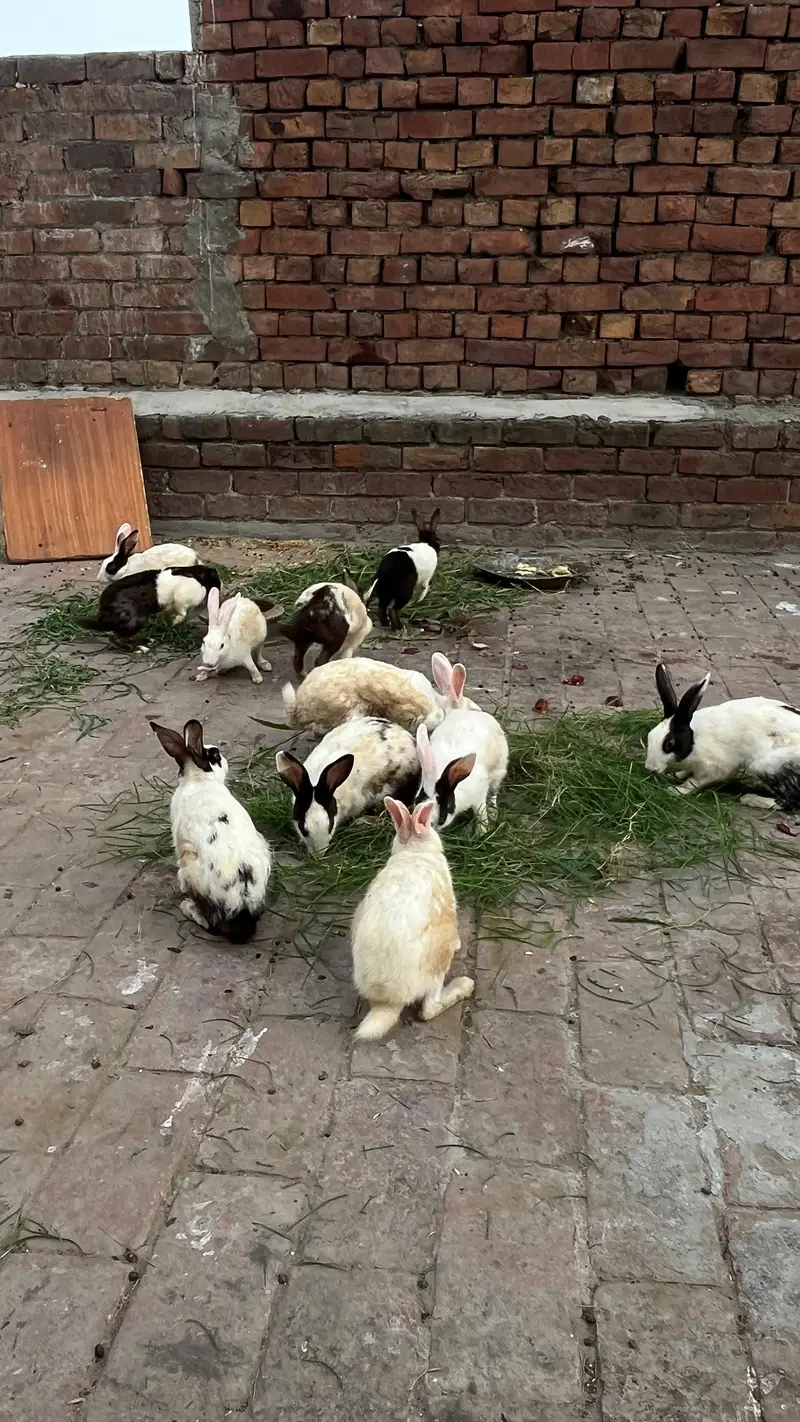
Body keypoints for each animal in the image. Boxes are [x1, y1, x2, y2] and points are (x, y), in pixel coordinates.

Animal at [82, 566, 221, 640]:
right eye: (213, 577)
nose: (220, 586)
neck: (197, 576)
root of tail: (102, 613)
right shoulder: (181, 599)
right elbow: (182, 613)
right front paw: (175, 622)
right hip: (135, 619)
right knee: (116, 638)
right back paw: (139, 648)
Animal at [150, 718, 272, 944]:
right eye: (215, 756)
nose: (224, 759)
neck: (199, 780)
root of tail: (240, 904)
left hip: (191, 865)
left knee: (210, 924)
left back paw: (187, 906)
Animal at [351, 797, 474, 1041]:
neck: (415, 851)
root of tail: (387, 1003)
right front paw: (459, 944)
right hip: (438, 963)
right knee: (428, 1009)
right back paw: (464, 986)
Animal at [646, 662, 800, 809]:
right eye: (649, 736)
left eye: (669, 743)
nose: (650, 769)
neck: (694, 740)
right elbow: (686, 772)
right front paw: (674, 775)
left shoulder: (713, 768)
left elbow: (693, 782)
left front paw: (674, 790)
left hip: (765, 766)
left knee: (791, 801)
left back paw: (750, 799)